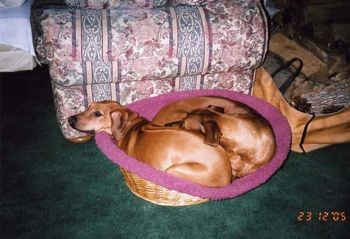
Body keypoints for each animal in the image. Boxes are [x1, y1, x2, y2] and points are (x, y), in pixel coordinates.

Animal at [68, 100, 232, 188]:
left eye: (97, 114)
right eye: (89, 107)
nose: (70, 119)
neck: (129, 126)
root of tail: (228, 174)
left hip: (174, 170)